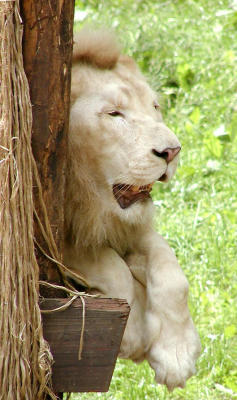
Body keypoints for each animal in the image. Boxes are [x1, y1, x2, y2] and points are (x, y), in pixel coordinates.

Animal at [64, 28, 201, 390]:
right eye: (114, 114)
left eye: (154, 106)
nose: (172, 151)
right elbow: (110, 266)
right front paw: (134, 336)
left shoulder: (130, 224)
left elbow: (171, 271)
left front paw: (177, 353)